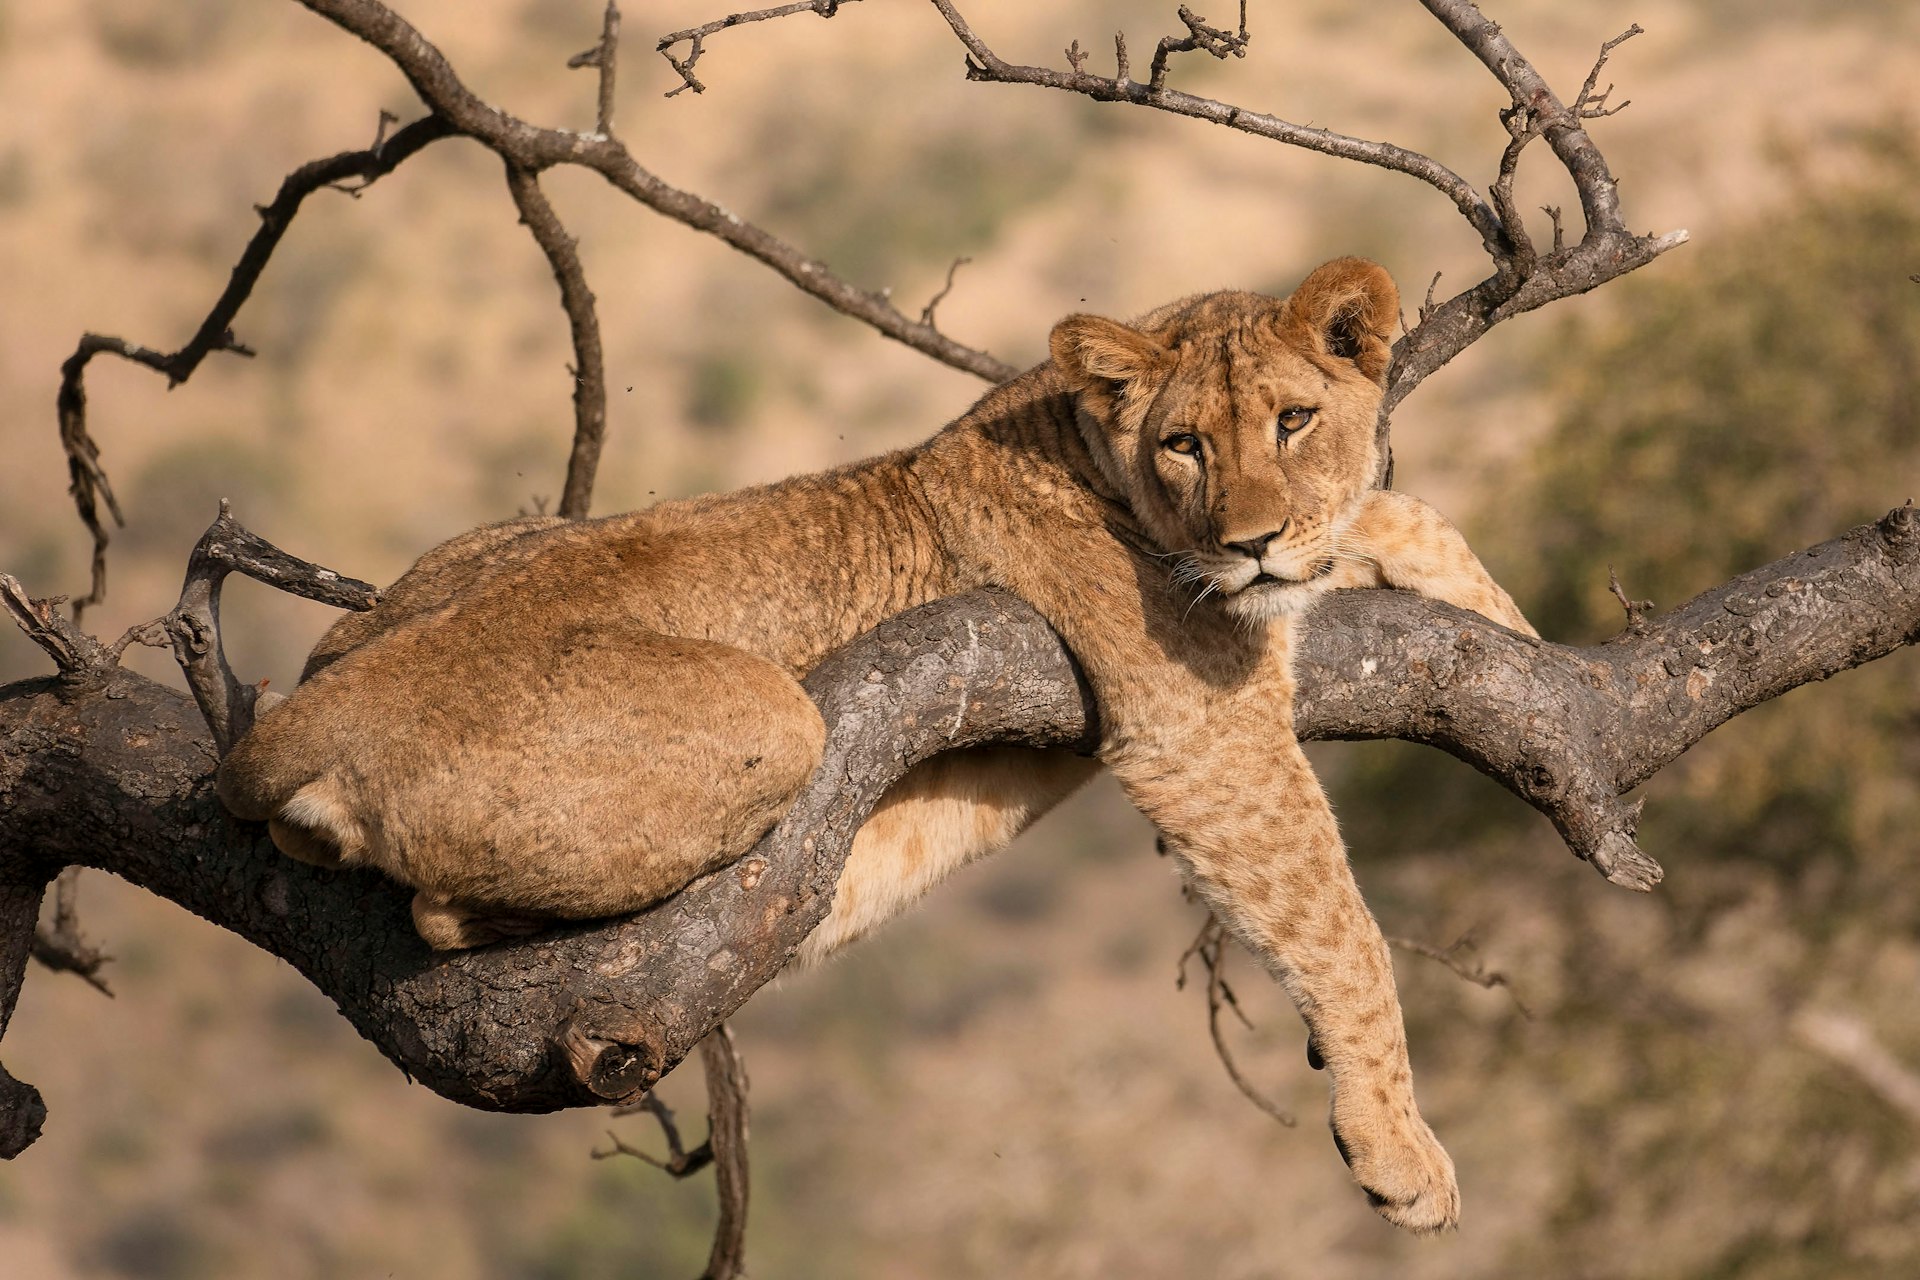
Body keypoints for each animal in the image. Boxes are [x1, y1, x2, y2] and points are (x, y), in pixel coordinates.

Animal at [217, 257, 1535, 1232]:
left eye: (1294, 419)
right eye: (1186, 445)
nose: (1251, 539)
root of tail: (312, 703)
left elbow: (1410, 513)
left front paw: (1517, 631)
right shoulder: (1200, 721)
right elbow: (1342, 929)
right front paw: (1400, 1147)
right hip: (777, 718)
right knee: (440, 912)